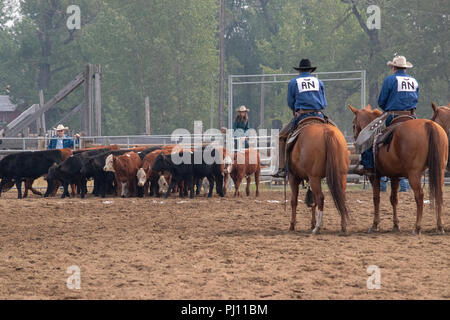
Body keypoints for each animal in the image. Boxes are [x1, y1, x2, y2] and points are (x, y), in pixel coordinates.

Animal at [348, 105, 446, 235]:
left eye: (353, 125)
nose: (354, 138)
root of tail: (428, 125)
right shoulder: (395, 176)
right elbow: (394, 199)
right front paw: (395, 225)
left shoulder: (375, 176)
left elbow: (376, 198)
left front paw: (375, 225)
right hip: (440, 170)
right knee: (439, 194)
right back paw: (440, 226)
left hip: (414, 174)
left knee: (419, 196)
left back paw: (417, 227)